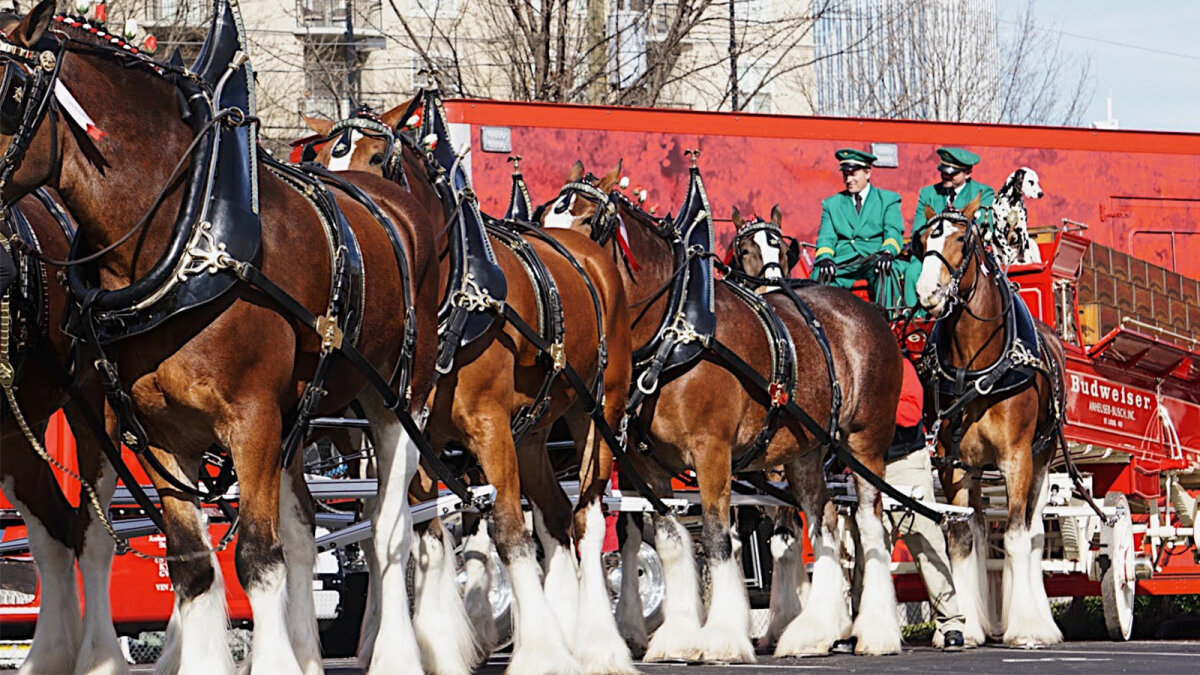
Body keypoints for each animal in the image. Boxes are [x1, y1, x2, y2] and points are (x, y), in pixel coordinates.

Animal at [0, 190, 126, 672]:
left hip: (95, 412)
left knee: (91, 536)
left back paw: (97, 657)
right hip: (17, 434)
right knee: (53, 531)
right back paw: (52, 654)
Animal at [302, 103, 638, 667]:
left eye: (377, 157)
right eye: (325, 155)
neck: (453, 293)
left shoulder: (489, 426)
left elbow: (506, 529)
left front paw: (541, 654)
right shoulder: (419, 434)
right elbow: (426, 534)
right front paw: (440, 645)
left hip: (598, 416)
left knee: (587, 520)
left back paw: (598, 644)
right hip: (533, 434)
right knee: (556, 517)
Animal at [547, 164, 907, 658]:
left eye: (587, 222)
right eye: (545, 216)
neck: (677, 328)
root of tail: (867, 312)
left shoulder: (712, 451)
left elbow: (718, 539)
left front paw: (720, 637)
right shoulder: (646, 464)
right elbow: (671, 539)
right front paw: (678, 638)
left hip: (865, 443)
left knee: (870, 528)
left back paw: (876, 630)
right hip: (806, 451)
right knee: (825, 522)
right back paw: (814, 630)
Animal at [912, 196, 1065, 643]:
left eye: (962, 240)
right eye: (922, 241)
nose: (927, 292)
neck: (975, 369)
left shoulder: (1017, 458)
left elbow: (1016, 537)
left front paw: (1027, 628)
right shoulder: (955, 463)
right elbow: (963, 540)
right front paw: (965, 627)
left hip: (1043, 457)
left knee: (1032, 532)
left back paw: (1037, 618)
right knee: (981, 529)